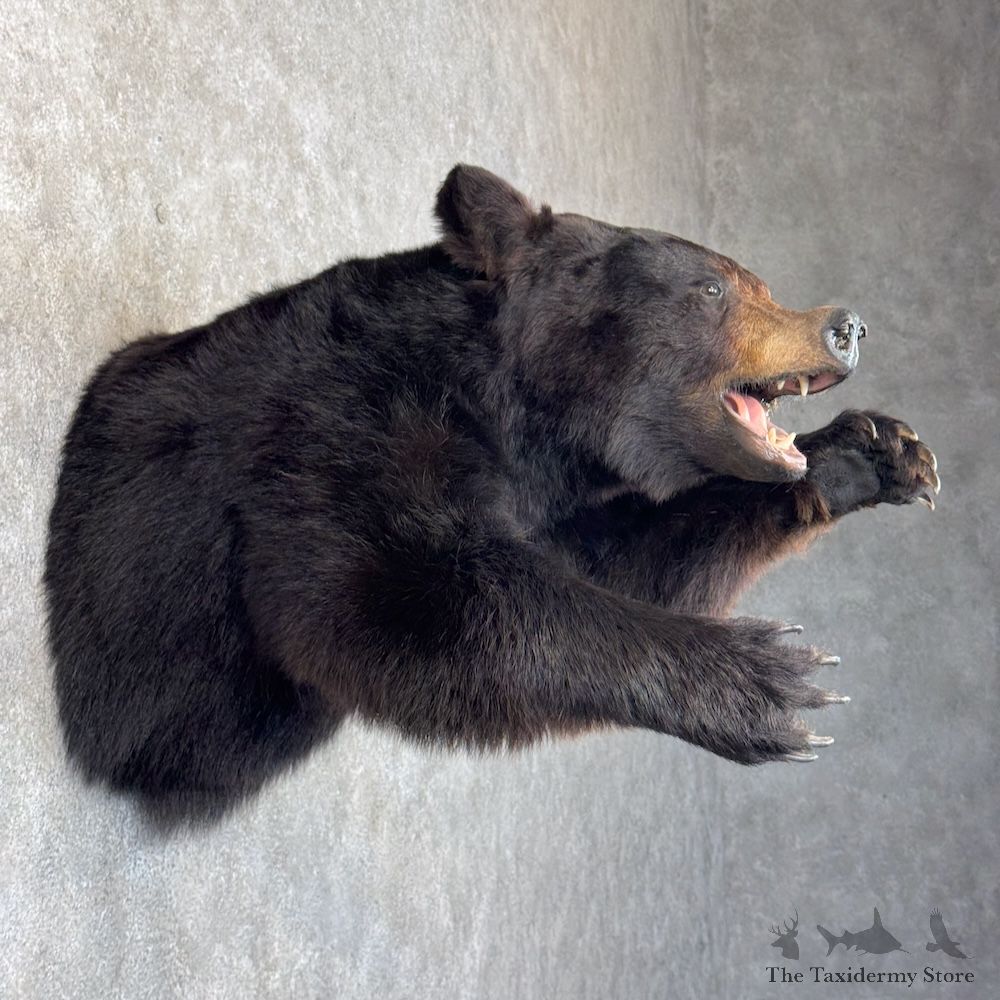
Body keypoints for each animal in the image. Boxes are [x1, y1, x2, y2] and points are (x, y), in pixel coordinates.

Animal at [44, 164, 940, 823]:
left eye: (759, 283)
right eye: (715, 288)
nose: (845, 325)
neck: (517, 411)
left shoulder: (534, 493)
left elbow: (627, 557)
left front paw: (873, 452)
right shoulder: (340, 422)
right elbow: (388, 592)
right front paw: (769, 677)